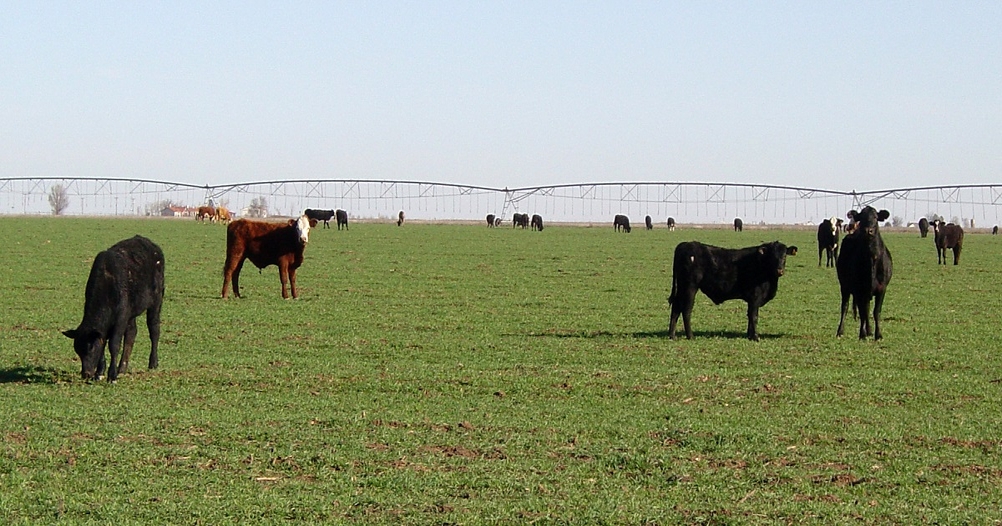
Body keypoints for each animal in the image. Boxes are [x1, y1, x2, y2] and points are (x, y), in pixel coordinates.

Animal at [63, 236, 164, 382]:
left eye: (91, 348)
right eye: (78, 350)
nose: (86, 373)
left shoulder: (120, 319)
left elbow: (114, 345)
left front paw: (112, 375)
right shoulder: (120, 318)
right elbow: (104, 343)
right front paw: (100, 373)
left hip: (156, 302)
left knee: (154, 330)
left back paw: (153, 363)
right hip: (131, 314)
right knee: (131, 334)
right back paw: (122, 368)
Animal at [668, 241, 798, 341]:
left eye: (784, 256)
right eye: (772, 257)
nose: (779, 270)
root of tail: (685, 244)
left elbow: (749, 316)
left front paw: (749, 335)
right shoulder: (755, 297)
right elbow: (754, 316)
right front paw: (755, 337)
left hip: (681, 288)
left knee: (676, 308)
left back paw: (672, 335)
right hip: (690, 287)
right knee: (686, 310)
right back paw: (690, 336)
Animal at [836, 207, 892, 340]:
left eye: (876, 217)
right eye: (861, 217)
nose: (868, 231)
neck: (872, 258)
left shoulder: (882, 289)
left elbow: (876, 312)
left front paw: (878, 335)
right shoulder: (860, 290)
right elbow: (863, 312)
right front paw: (862, 334)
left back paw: (869, 331)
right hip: (844, 286)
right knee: (845, 307)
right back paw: (840, 331)